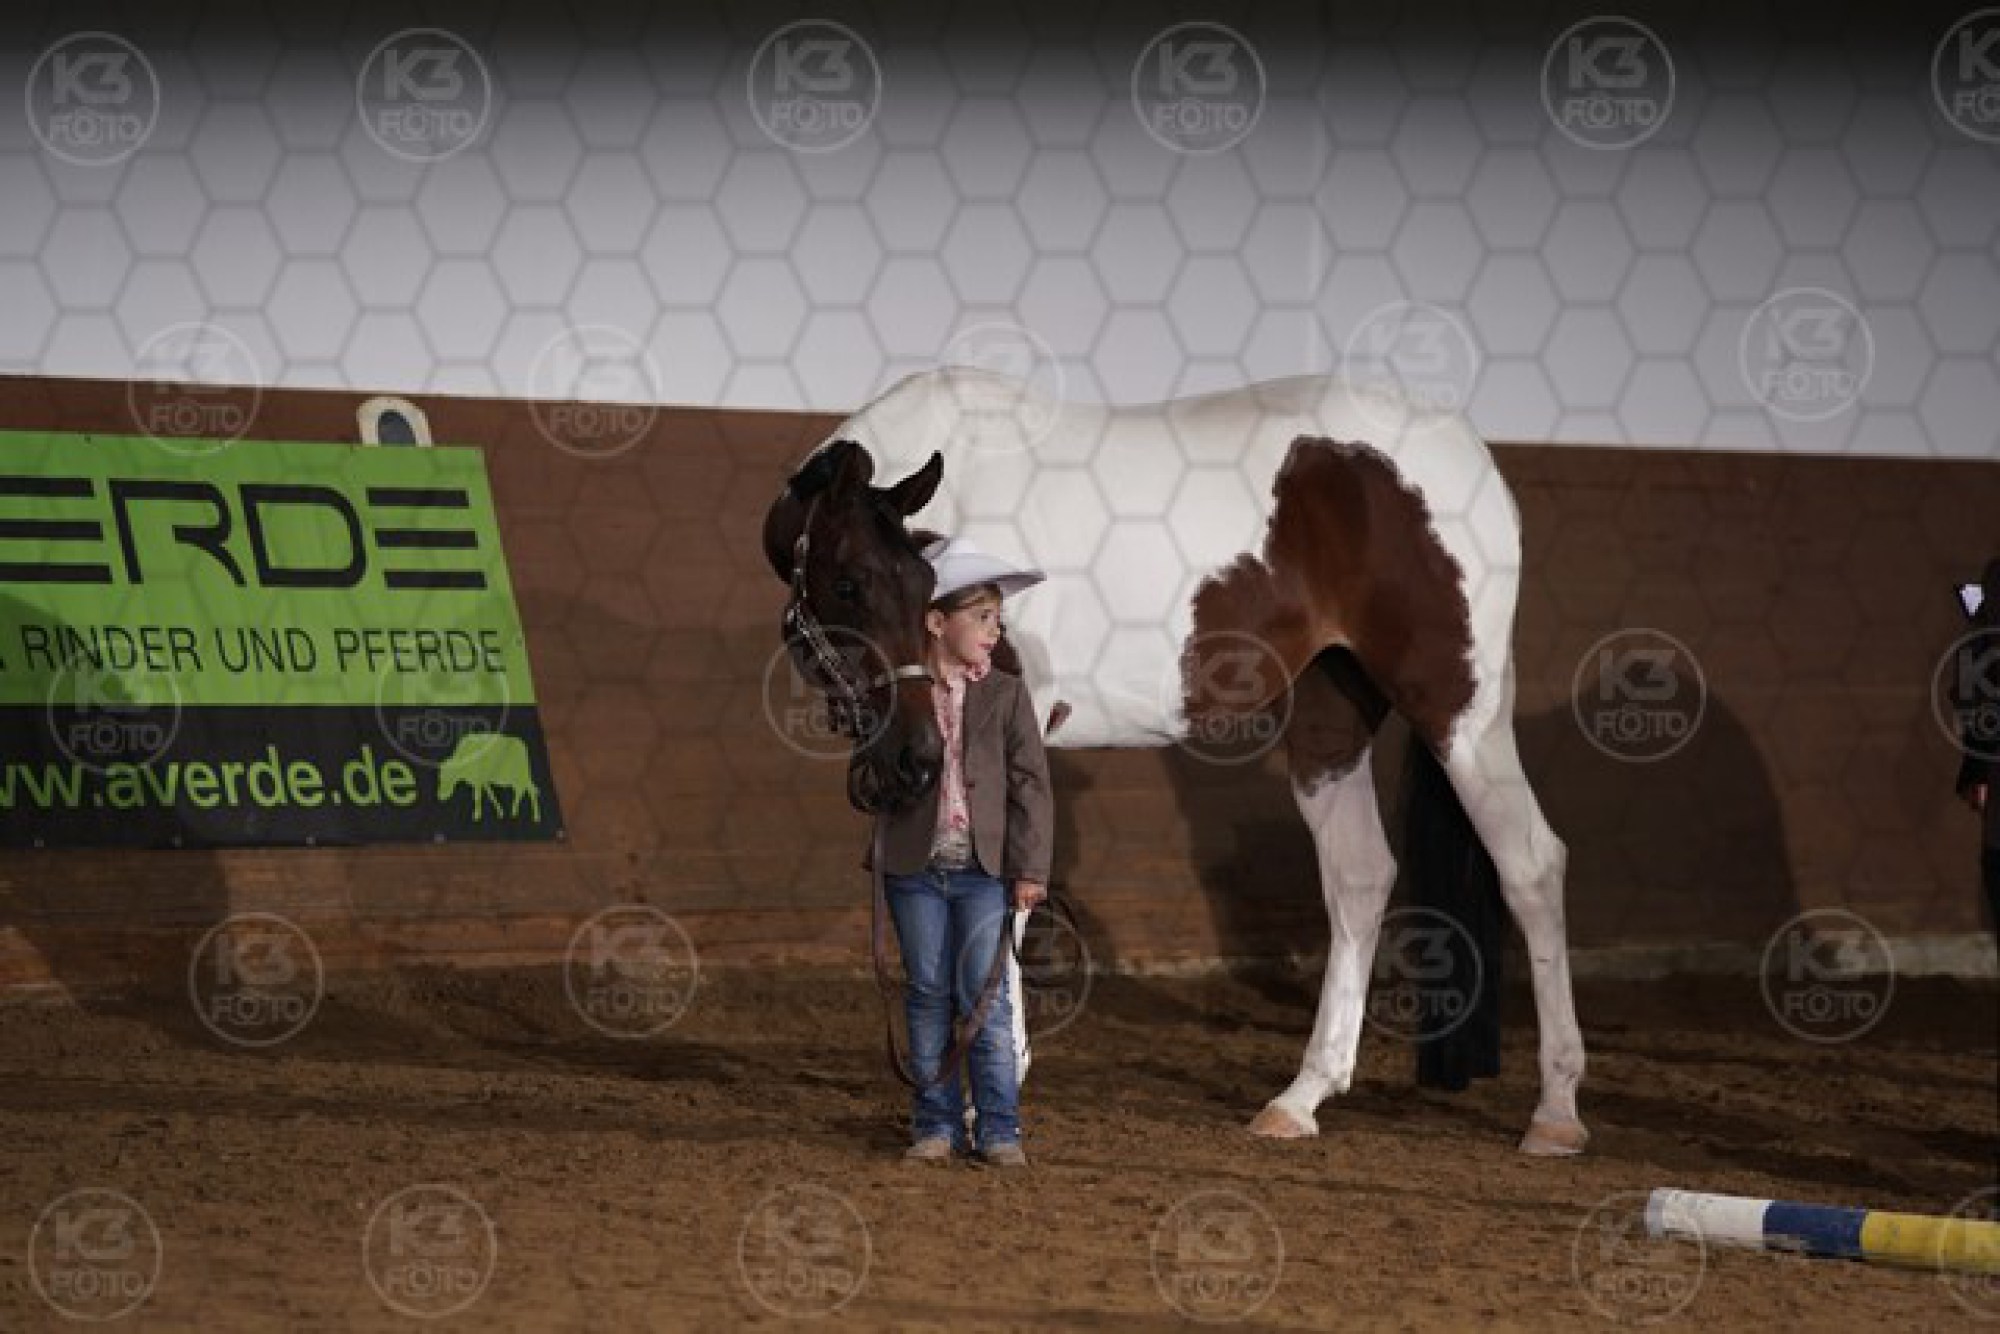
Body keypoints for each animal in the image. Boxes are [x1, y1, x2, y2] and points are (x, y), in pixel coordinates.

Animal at [762, 368, 1588, 1156]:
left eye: (919, 585)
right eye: (848, 584)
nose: (911, 759)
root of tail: (1475, 459)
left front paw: (984, 1097)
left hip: (1459, 710)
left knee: (1531, 864)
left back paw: (1555, 1113)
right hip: (1332, 715)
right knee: (1359, 875)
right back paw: (1300, 1099)